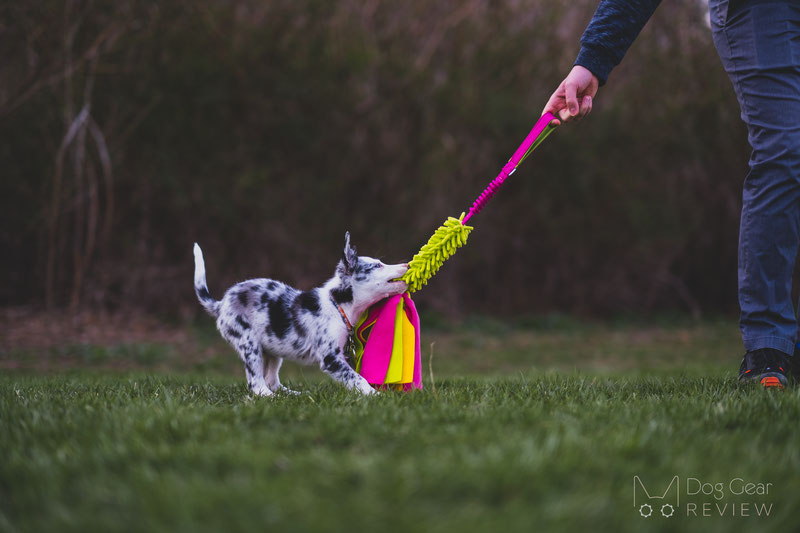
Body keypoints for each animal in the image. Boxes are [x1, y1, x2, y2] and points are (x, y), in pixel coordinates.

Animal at [192, 233, 406, 394]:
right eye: (377, 265)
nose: (406, 265)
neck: (338, 305)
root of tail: (221, 304)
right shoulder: (330, 358)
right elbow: (357, 378)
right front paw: (376, 396)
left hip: (272, 347)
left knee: (271, 380)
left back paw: (292, 395)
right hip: (248, 342)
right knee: (256, 384)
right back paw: (270, 397)